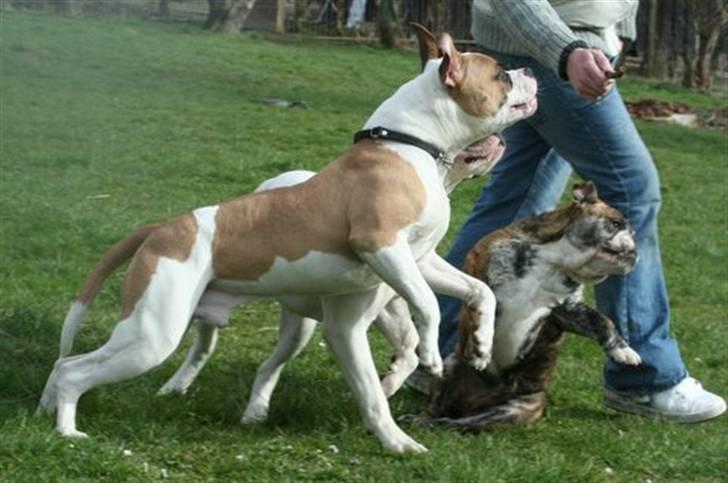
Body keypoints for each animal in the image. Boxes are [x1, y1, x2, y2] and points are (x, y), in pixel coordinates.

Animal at [41, 24, 540, 452]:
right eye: (500, 74)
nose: (531, 72)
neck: (408, 144)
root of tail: (163, 227)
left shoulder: (419, 259)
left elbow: (477, 291)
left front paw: (480, 345)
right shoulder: (381, 246)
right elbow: (427, 307)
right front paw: (429, 365)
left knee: (66, 364)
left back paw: (48, 409)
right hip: (152, 334)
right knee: (76, 370)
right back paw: (67, 429)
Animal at [418, 182, 640, 432]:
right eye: (615, 223)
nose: (635, 248)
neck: (554, 261)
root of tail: (469, 405)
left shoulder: (568, 311)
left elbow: (602, 321)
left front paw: (624, 351)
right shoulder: (480, 271)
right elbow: (484, 304)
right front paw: (481, 344)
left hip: (513, 410)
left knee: (460, 424)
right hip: (450, 367)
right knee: (437, 408)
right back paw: (420, 420)